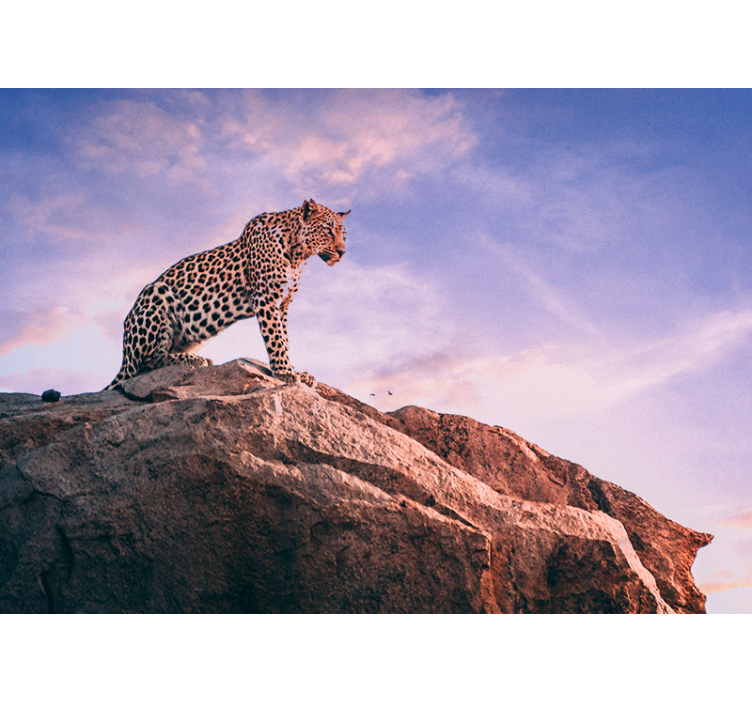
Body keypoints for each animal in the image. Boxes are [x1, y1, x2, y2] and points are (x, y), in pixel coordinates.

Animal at [105, 199, 349, 391]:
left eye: (343, 235)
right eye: (328, 230)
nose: (342, 252)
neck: (298, 255)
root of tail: (124, 357)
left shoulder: (283, 305)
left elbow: (285, 339)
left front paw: (296, 371)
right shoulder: (266, 298)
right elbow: (276, 339)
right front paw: (285, 372)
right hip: (155, 293)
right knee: (145, 364)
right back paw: (195, 360)